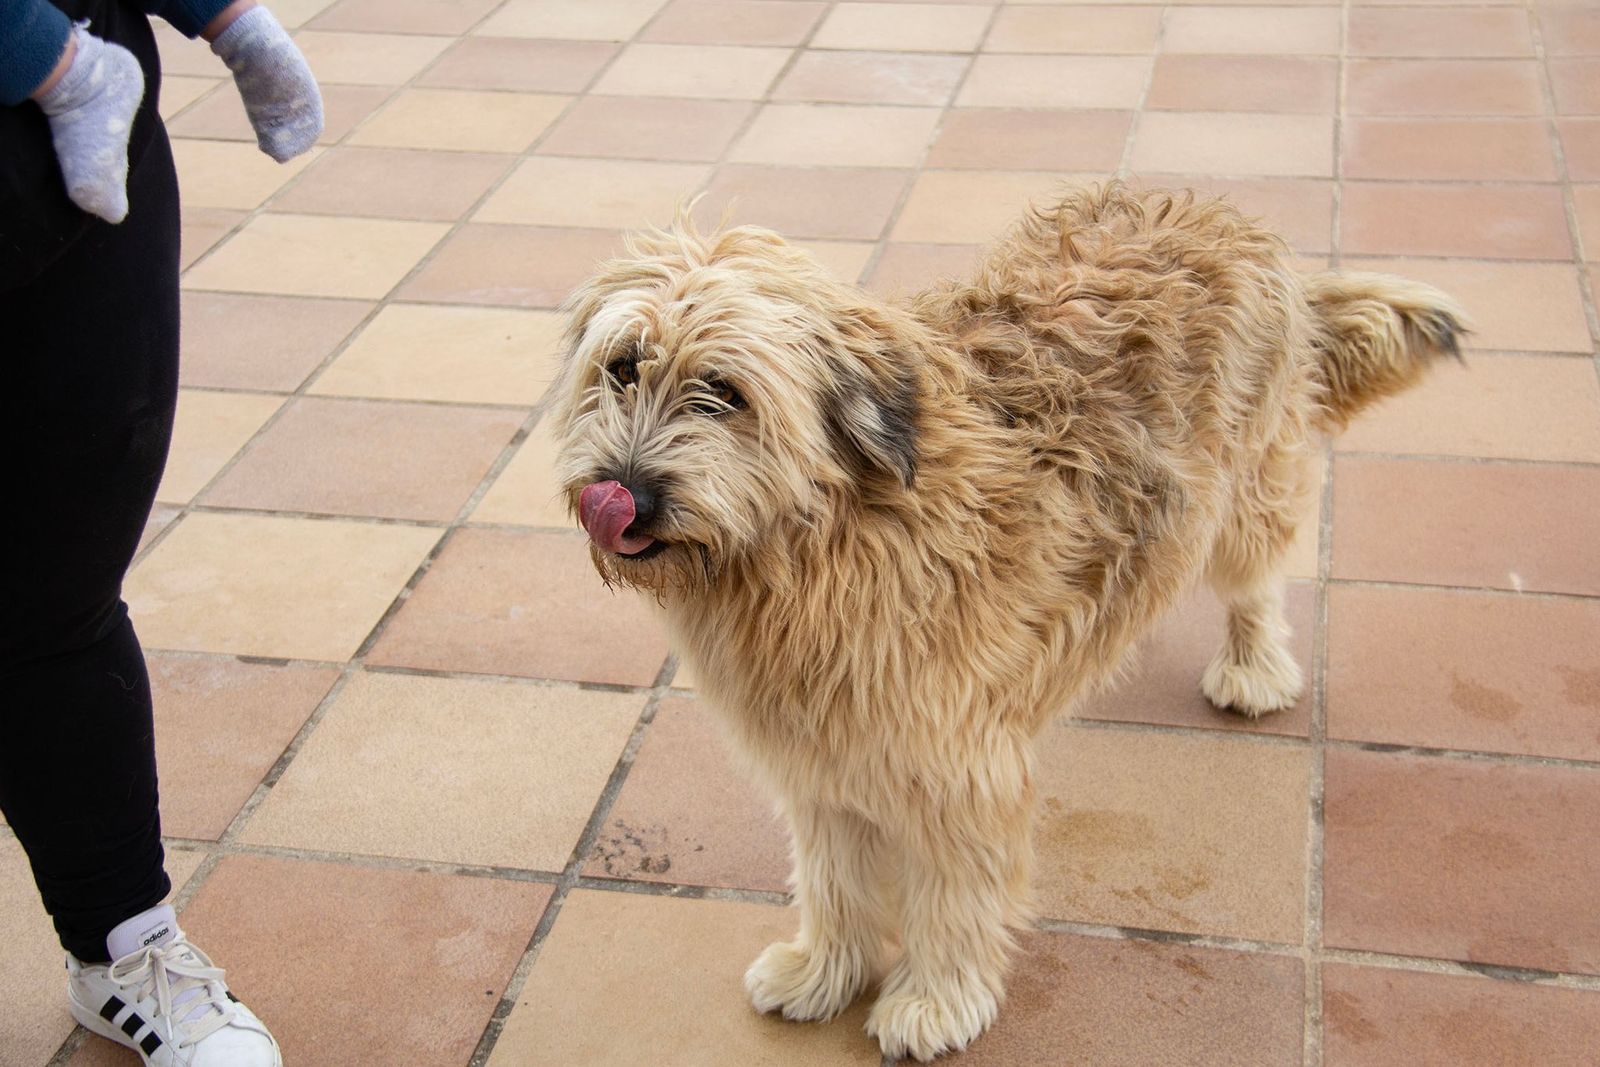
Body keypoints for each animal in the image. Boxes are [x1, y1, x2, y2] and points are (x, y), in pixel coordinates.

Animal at [548, 182, 1464, 1061]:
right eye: (622, 367)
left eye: (725, 394)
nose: (622, 494)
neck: (828, 536)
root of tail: (1222, 211)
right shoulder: (825, 756)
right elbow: (835, 877)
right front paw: (823, 971)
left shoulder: (960, 766)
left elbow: (954, 897)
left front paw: (933, 1002)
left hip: (1242, 493)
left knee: (1256, 581)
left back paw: (1253, 667)